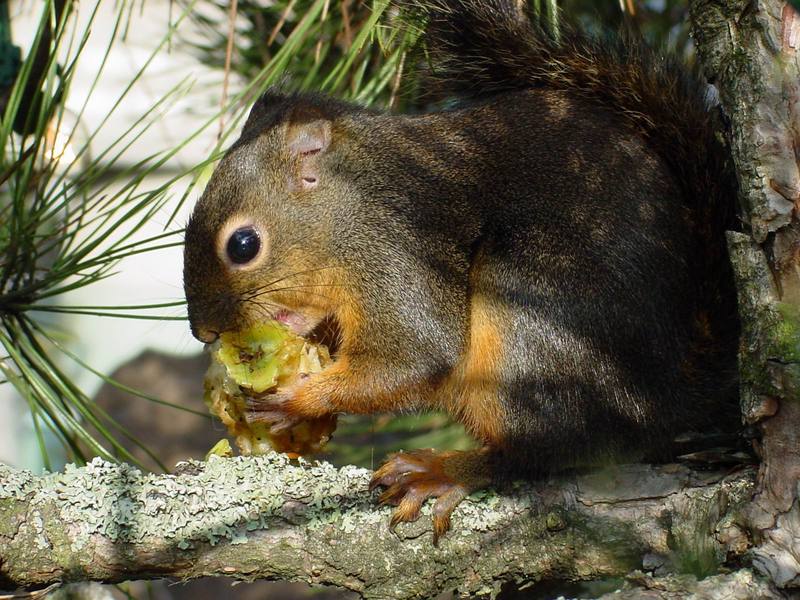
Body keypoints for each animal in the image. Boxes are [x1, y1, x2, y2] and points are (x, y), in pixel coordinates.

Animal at [181, 0, 736, 544]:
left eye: (244, 245)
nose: (204, 332)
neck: (349, 208)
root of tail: (666, 400)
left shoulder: (397, 250)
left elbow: (415, 357)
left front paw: (295, 401)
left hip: (529, 319)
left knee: (542, 452)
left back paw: (445, 471)